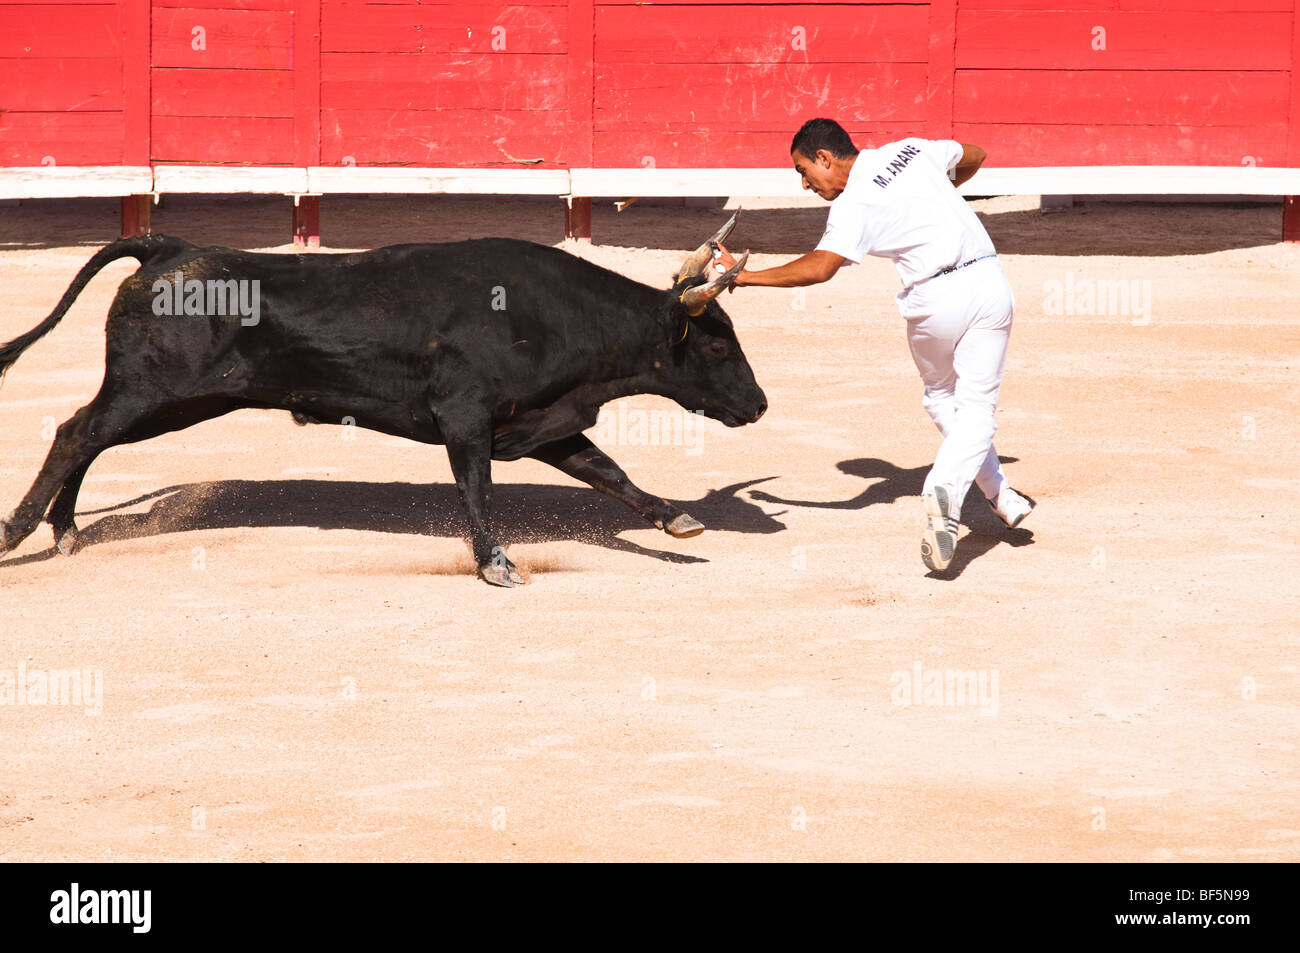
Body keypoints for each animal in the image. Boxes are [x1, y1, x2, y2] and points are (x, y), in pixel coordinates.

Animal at [0, 226, 764, 582]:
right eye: (717, 343)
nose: (759, 404)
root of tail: (171, 247)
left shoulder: (544, 424)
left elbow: (611, 473)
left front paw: (677, 521)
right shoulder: (465, 416)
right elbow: (477, 489)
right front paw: (495, 562)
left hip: (176, 401)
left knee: (86, 436)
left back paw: (65, 531)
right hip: (155, 392)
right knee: (76, 432)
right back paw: (20, 532)